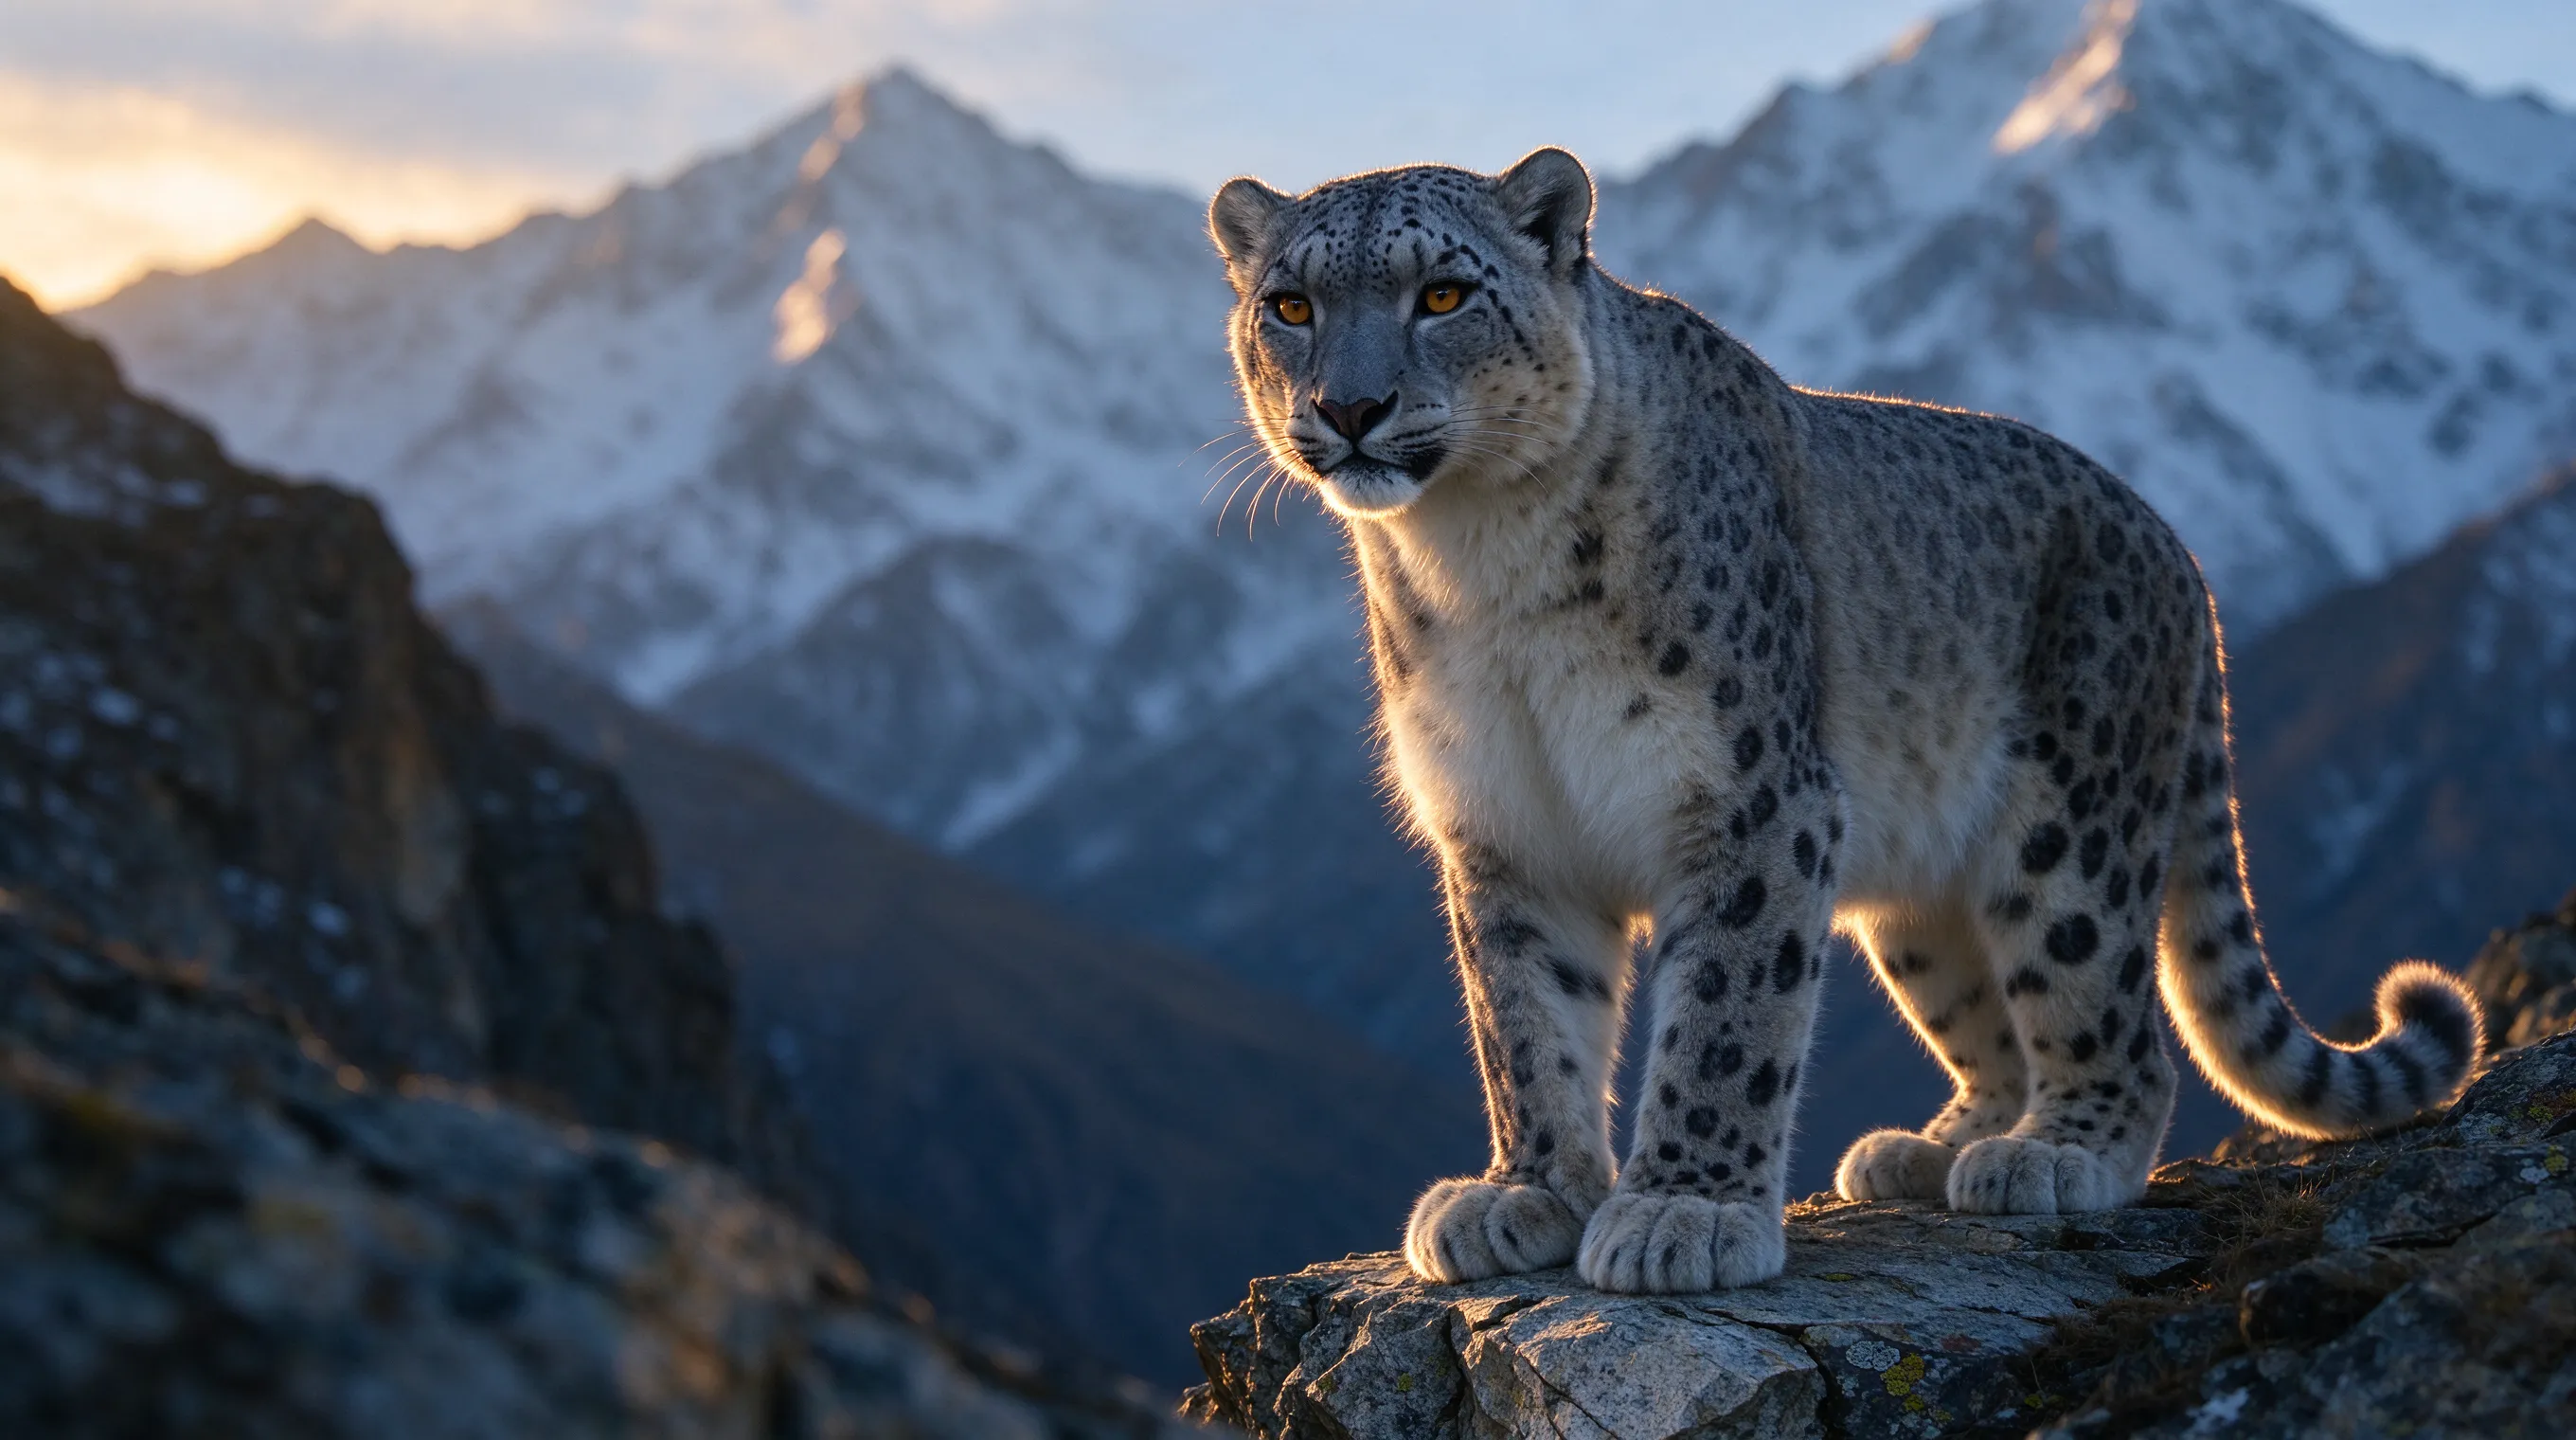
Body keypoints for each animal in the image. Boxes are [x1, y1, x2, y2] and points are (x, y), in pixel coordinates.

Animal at [1206, 148, 2483, 1294]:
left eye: (1441, 293)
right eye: (1290, 305)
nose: (1349, 407)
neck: (1480, 566)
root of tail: (2179, 552)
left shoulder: (1749, 799)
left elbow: (1726, 1014)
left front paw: (1681, 1212)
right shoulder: (1502, 824)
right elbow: (1524, 1020)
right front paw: (1528, 1192)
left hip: (2069, 829)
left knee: (2108, 1013)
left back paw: (2051, 1153)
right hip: (1917, 896)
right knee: (1982, 1008)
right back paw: (1932, 1146)